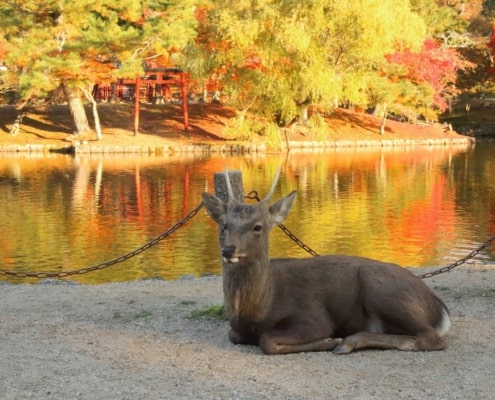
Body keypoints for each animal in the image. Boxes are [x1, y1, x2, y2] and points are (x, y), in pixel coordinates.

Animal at [202, 170, 454, 354]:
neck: (260, 309)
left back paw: (347, 342)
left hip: (382, 289)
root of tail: (441, 309)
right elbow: (234, 336)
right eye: (225, 225)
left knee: (431, 338)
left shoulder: (313, 317)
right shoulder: (236, 330)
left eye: (258, 226)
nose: (228, 249)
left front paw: (329, 341)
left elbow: (268, 340)